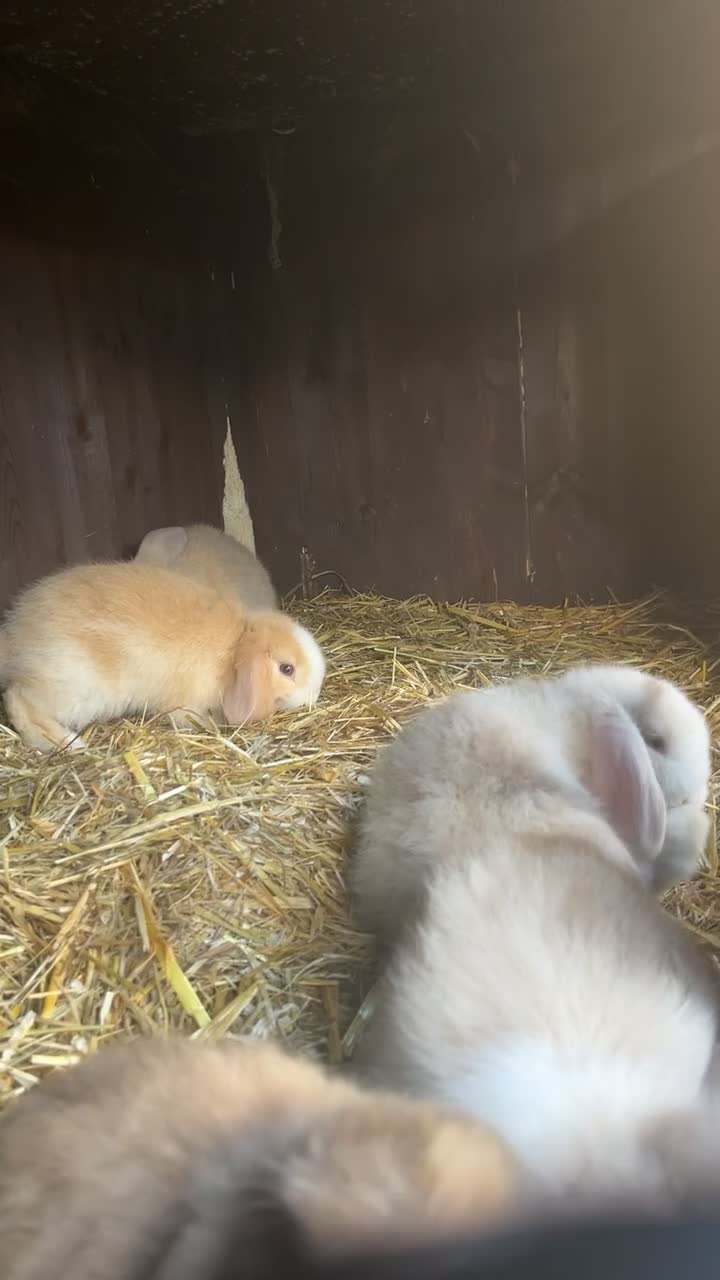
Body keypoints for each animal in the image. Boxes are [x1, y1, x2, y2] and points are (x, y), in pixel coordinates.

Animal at [0, 561, 325, 752]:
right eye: (287, 669)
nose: (314, 697)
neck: (234, 647)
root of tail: (16, 636)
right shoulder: (184, 702)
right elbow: (186, 718)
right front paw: (212, 726)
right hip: (73, 686)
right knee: (18, 700)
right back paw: (68, 743)